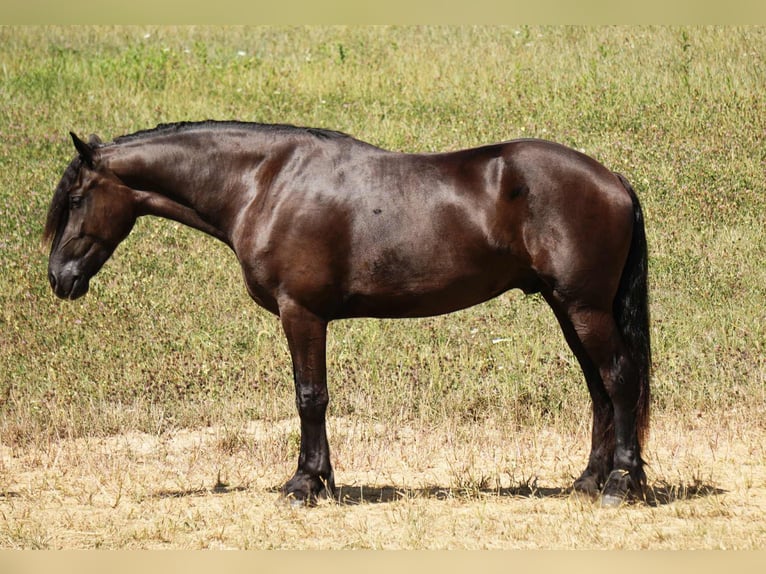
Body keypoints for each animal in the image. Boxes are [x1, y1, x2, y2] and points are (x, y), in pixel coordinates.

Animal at [44, 120, 651, 507]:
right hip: (567, 308)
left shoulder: (301, 313)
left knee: (619, 378)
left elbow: (310, 397)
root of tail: (614, 180)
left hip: (583, 307)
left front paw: (303, 485)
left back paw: (621, 484)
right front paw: (323, 481)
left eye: (74, 199)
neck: (265, 183)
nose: (59, 279)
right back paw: (589, 481)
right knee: (599, 388)